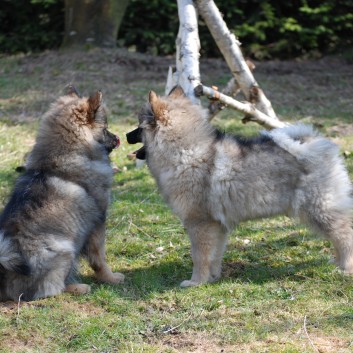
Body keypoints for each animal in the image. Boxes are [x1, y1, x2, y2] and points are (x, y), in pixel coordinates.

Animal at [0, 88, 124, 300]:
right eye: (105, 128)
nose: (117, 138)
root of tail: (4, 272)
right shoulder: (98, 222)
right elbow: (99, 259)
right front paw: (111, 278)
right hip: (66, 250)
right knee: (52, 289)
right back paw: (78, 287)